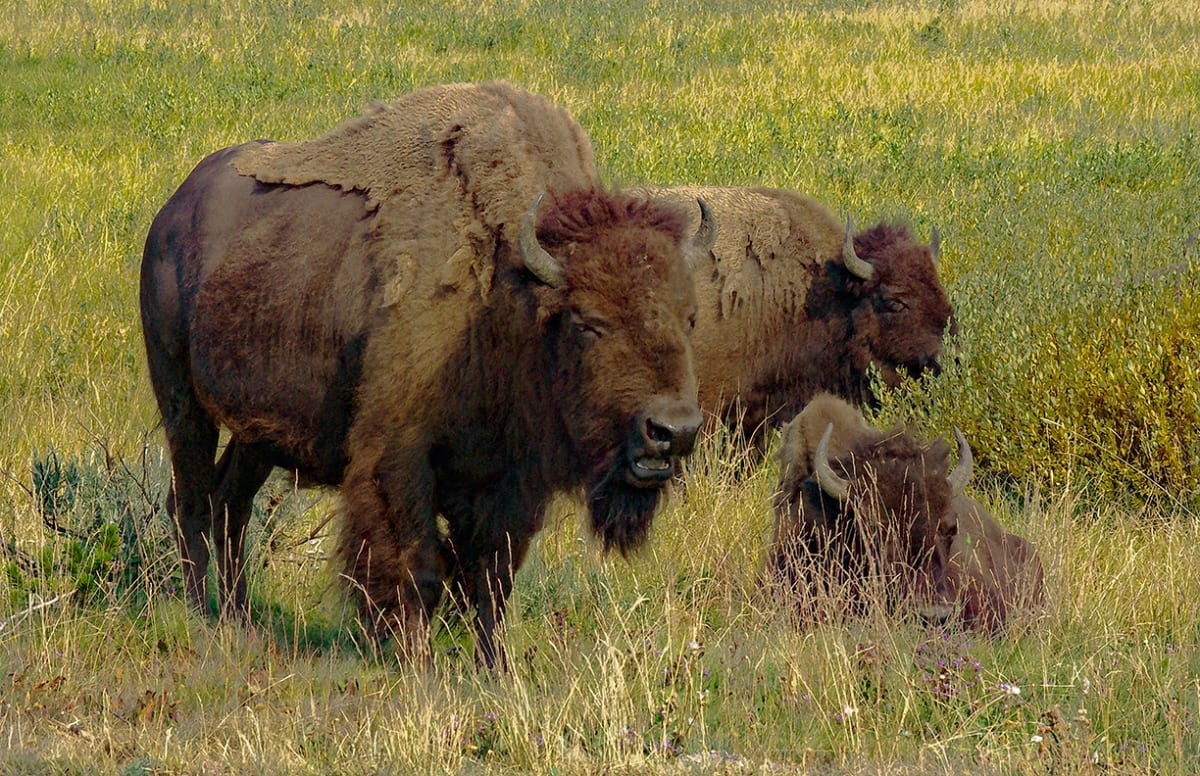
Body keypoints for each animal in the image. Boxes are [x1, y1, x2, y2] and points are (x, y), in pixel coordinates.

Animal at [145, 82, 715, 666]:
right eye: (586, 322)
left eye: (690, 316)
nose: (672, 430)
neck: (507, 295)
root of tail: (171, 214)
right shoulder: (400, 457)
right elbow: (419, 569)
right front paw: (417, 665)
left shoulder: (509, 482)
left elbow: (492, 577)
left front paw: (492, 667)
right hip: (182, 402)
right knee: (191, 503)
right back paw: (203, 620)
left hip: (257, 434)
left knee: (230, 506)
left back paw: (239, 619)